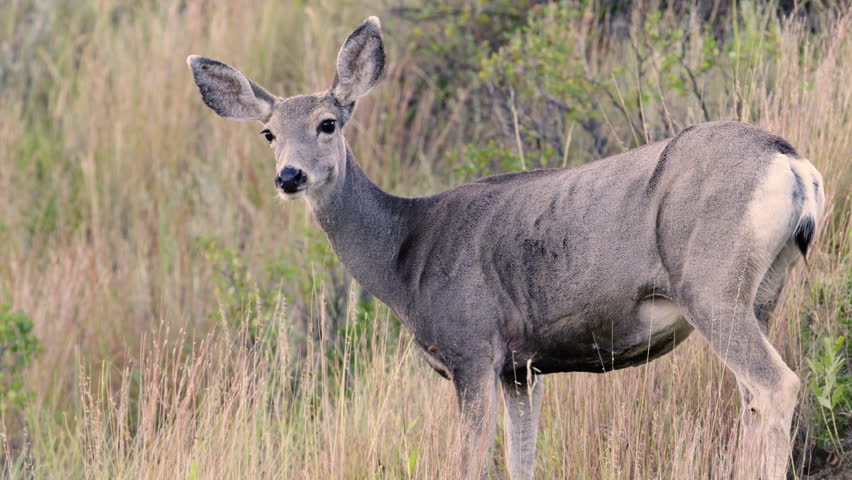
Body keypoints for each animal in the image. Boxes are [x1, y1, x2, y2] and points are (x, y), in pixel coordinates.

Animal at [187, 16, 825, 480]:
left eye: (328, 123)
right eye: (268, 133)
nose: (289, 176)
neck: (405, 257)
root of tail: (792, 164)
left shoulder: (471, 346)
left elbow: (470, 463)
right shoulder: (522, 366)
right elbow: (523, 460)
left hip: (711, 285)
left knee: (777, 386)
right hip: (763, 292)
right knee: (753, 397)